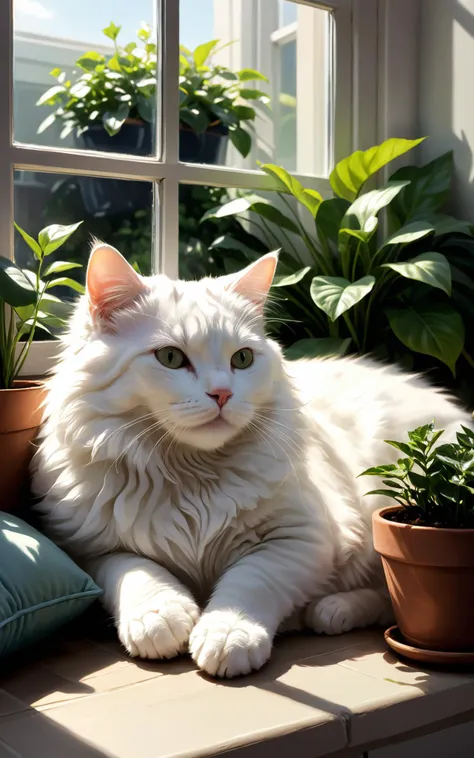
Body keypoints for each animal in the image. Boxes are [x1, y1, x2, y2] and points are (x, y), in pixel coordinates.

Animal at [32, 246, 470, 680]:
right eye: (170, 357)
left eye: (242, 359)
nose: (222, 393)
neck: (190, 475)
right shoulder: (90, 550)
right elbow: (137, 573)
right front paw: (160, 619)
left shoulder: (298, 539)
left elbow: (249, 582)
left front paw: (227, 635)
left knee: (390, 597)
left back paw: (330, 611)